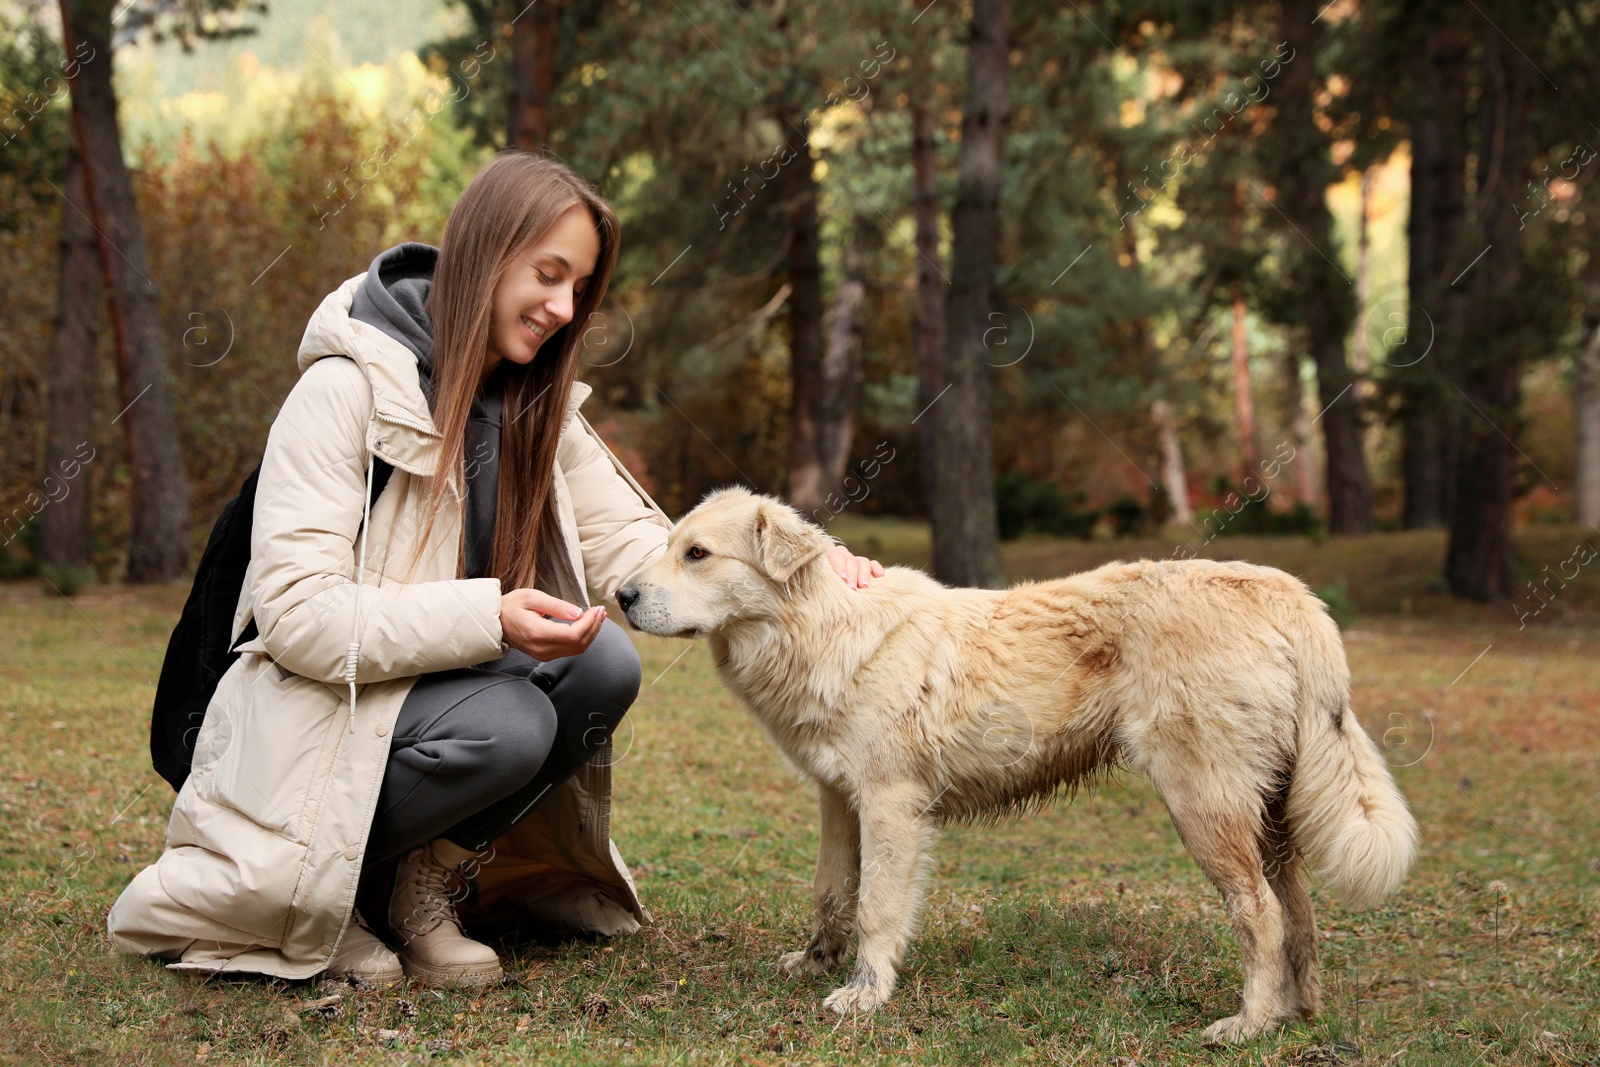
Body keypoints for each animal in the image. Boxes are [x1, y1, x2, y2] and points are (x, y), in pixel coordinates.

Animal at [611, 489, 1414, 1043]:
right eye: (671, 545)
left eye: (697, 554)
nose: (620, 595)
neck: (821, 628)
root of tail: (1283, 590)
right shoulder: (838, 800)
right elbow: (832, 892)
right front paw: (816, 962)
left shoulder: (891, 804)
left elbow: (876, 907)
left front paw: (865, 994)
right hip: (1269, 816)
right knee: (1299, 914)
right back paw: (1294, 1015)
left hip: (1205, 807)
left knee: (1261, 914)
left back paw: (1247, 1025)